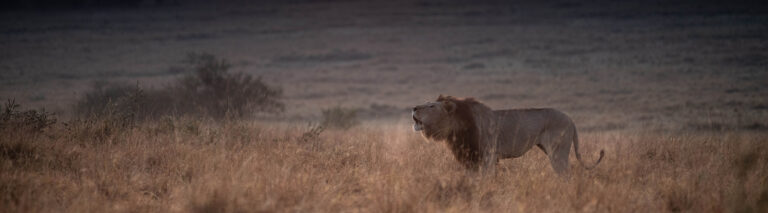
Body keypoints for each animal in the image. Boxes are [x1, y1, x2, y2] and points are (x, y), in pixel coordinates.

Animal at [412, 95, 604, 175]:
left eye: (431, 106)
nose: (413, 108)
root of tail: (571, 119)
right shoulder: (470, 157)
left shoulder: (488, 155)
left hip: (558, 152)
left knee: (566, 174)